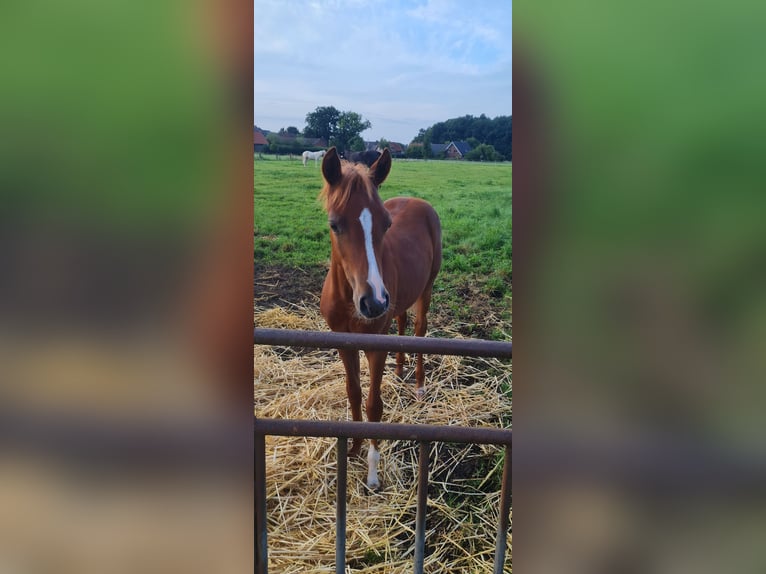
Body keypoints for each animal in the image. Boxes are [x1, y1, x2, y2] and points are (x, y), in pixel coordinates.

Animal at [320, 146, 444, 488]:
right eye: (335, 224)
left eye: (386, 224)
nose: (374, 302)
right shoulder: (344, 344)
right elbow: (353, 394)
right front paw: (353, 449)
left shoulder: (375, 347)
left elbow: (374, 406)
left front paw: (373, 471)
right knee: (401, 323)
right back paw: (399, 369)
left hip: (426, 288)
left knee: (419, 330)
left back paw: (418, 385)